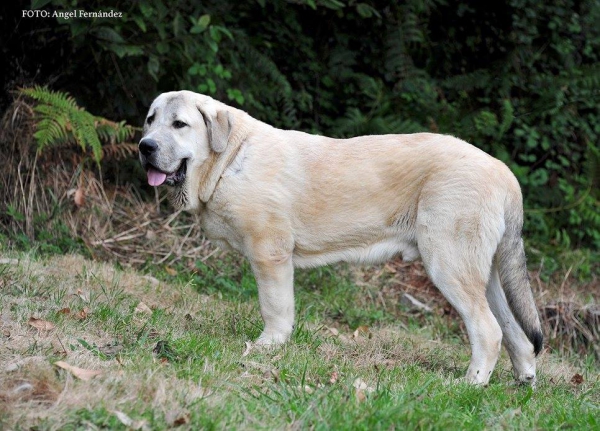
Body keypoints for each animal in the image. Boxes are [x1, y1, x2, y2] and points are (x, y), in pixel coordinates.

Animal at [139, 90, 544, 384]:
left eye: (179, 124)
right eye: (150, 120)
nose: (145, 146)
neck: (230, 159)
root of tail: (504, 172)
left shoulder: (270, 253)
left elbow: (275, 307)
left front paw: (268, 347)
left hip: (449, 264)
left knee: (488, 330)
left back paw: (471, 384)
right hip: (485, 275)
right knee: (515, 332)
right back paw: (522, 379)